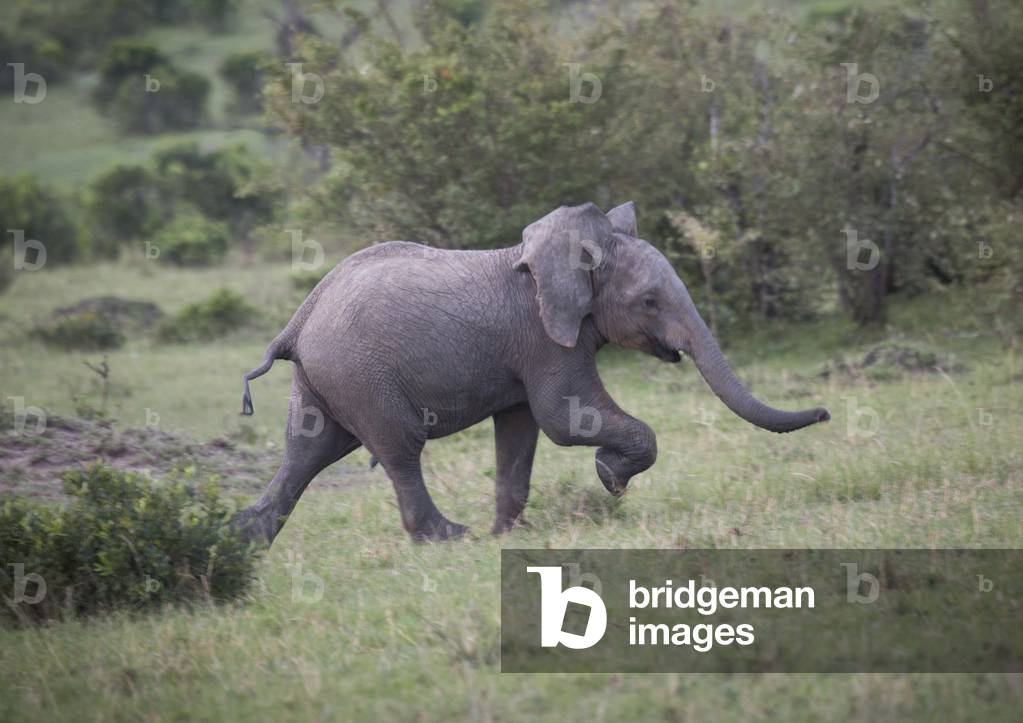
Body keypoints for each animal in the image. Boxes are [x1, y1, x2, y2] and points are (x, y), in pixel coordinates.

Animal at [236, 202, 829, 544]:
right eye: (650, 302)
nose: (825, 412)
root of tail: (297, 322)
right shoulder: (546, 339)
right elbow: (565, 419)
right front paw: (609, 478)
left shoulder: (526, 354)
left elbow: (520, 433)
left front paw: (510, 535)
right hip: (360, 375)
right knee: (398, 448)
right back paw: (449, 537)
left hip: (326, 377)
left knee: (308, 451)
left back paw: (247, 542)